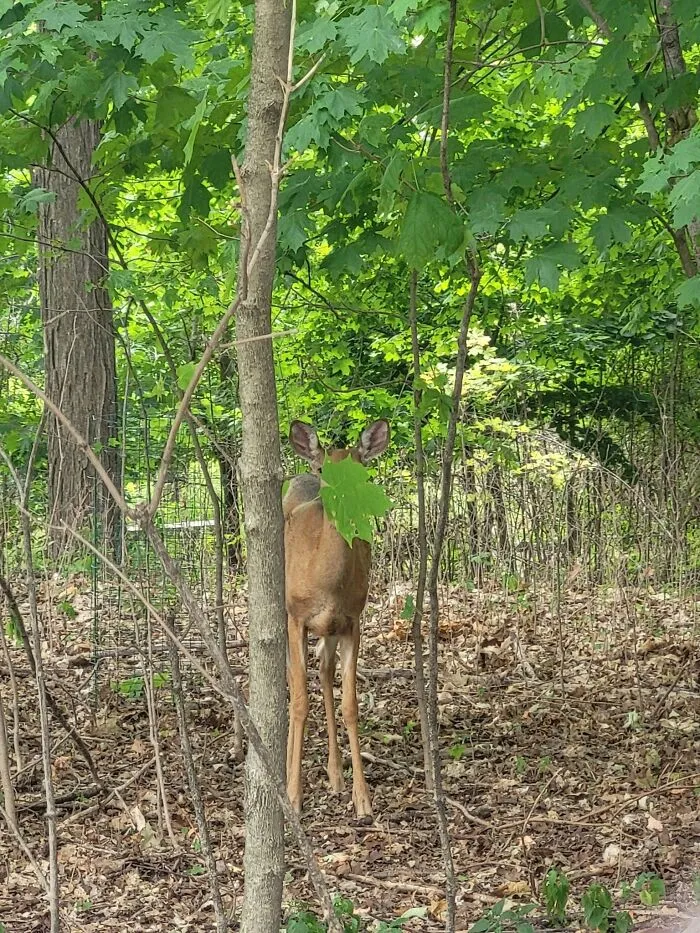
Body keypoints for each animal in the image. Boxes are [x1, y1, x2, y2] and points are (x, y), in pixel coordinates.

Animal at [283, 418, 390, 820]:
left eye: (361, 469)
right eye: (323, 469)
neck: (326, 583)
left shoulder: (352, 621)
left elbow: (350, 706)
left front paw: (363, 798)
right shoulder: (296, 617)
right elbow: (300, 702)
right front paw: (293, 795)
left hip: (329, 629)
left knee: (324, 671)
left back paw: (335, 773)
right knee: (294, 679)